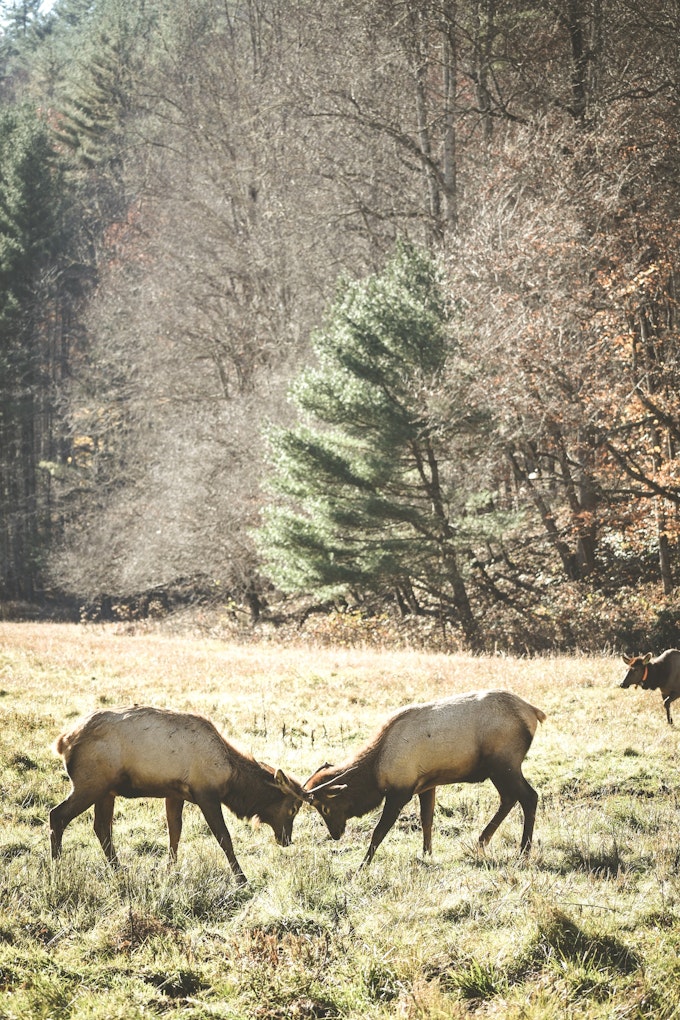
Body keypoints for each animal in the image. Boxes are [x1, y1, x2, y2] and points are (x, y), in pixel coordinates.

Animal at [49, 705, 311, 884]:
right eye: (293, 808)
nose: (286, 840)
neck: (230, 778)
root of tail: (63, 741)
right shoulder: (206, 793)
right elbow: (224, 837)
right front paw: (241, 878)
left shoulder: (174, 794)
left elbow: (174, 832)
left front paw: (170, 870)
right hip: (90, 784)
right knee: (57, 815)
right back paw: (57, 866)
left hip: (106, 791)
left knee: (101, 826)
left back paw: (118, 868)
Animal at [277, 689, 545, 870]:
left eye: (324, 806)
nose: (335, 834)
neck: (376, 770)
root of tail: (534, 712)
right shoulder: (427, 785)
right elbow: (427, 821)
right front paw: (427, 854)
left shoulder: (400, 791)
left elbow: (379, 831)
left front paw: (362, 866)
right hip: (499, 770)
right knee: (509, 798)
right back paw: (482, 841)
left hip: (505, 764)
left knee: (529, 796)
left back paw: (523, 851)